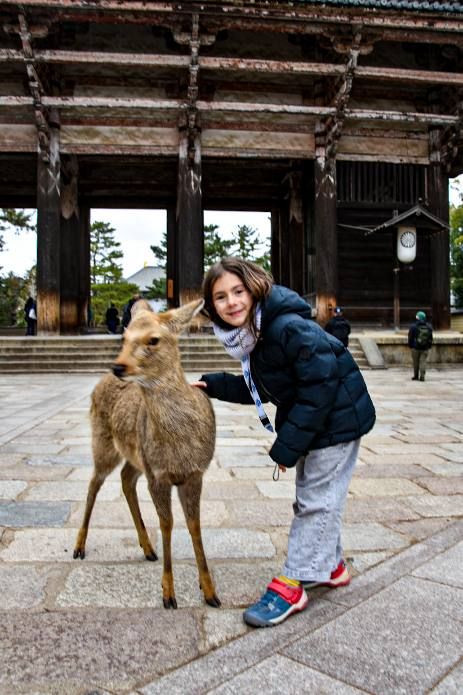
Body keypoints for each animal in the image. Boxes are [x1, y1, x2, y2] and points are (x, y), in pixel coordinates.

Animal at [73, 299, 220, 609]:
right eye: (124, 336)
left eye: (153, 339)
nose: (118, 366)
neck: (179, 446)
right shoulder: (158, 475)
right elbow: (167, 524)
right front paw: (168, 594)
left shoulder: (195, 474)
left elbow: (194, 525)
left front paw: (210, 591)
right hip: (103, 443)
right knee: (94, 484)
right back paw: (79, 546)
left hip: (135, 456)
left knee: (126, 479)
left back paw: (148, 548)